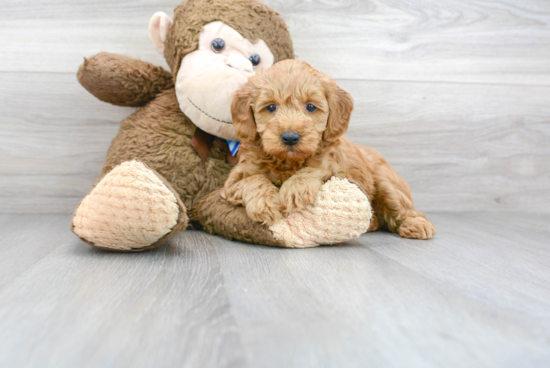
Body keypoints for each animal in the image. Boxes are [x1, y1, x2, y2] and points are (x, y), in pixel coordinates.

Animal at [222, 59, 438, 239]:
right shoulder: (232, 183)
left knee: (407, 209)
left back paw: (417, 226)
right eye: (271, 107)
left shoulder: (337, 170)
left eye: (310, 107)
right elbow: (253, 179)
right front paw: (265, 203)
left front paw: (295, 189)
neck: (288, 162)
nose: (290, 137)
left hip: (387, 183)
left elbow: (316, 169)